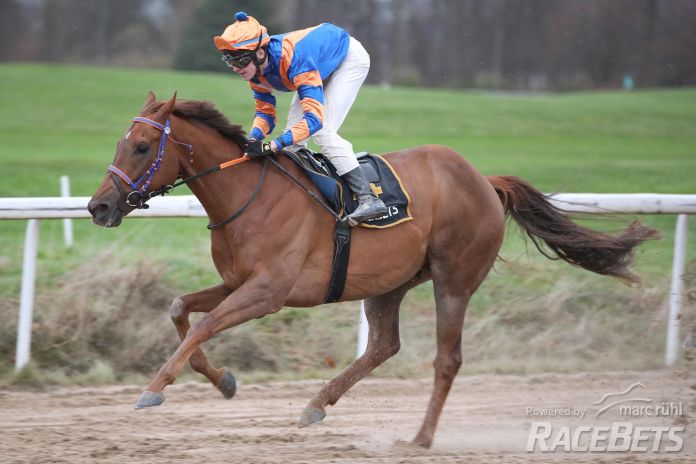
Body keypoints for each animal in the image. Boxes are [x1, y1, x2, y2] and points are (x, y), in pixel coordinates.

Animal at [88, 92, 658, 448]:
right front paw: (222, 379)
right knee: (385, 345)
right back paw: (317, 403)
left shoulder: (267, 292)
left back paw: (421, 438)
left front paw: (154, 387)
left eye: (142, 147)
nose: (98, 207)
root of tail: (483, 179)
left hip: (454, 278)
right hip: (391, 282)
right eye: (118, 143)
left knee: (446, 359)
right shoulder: (236, 283)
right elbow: (180, 309)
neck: (247, 194)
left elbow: (203, 323)